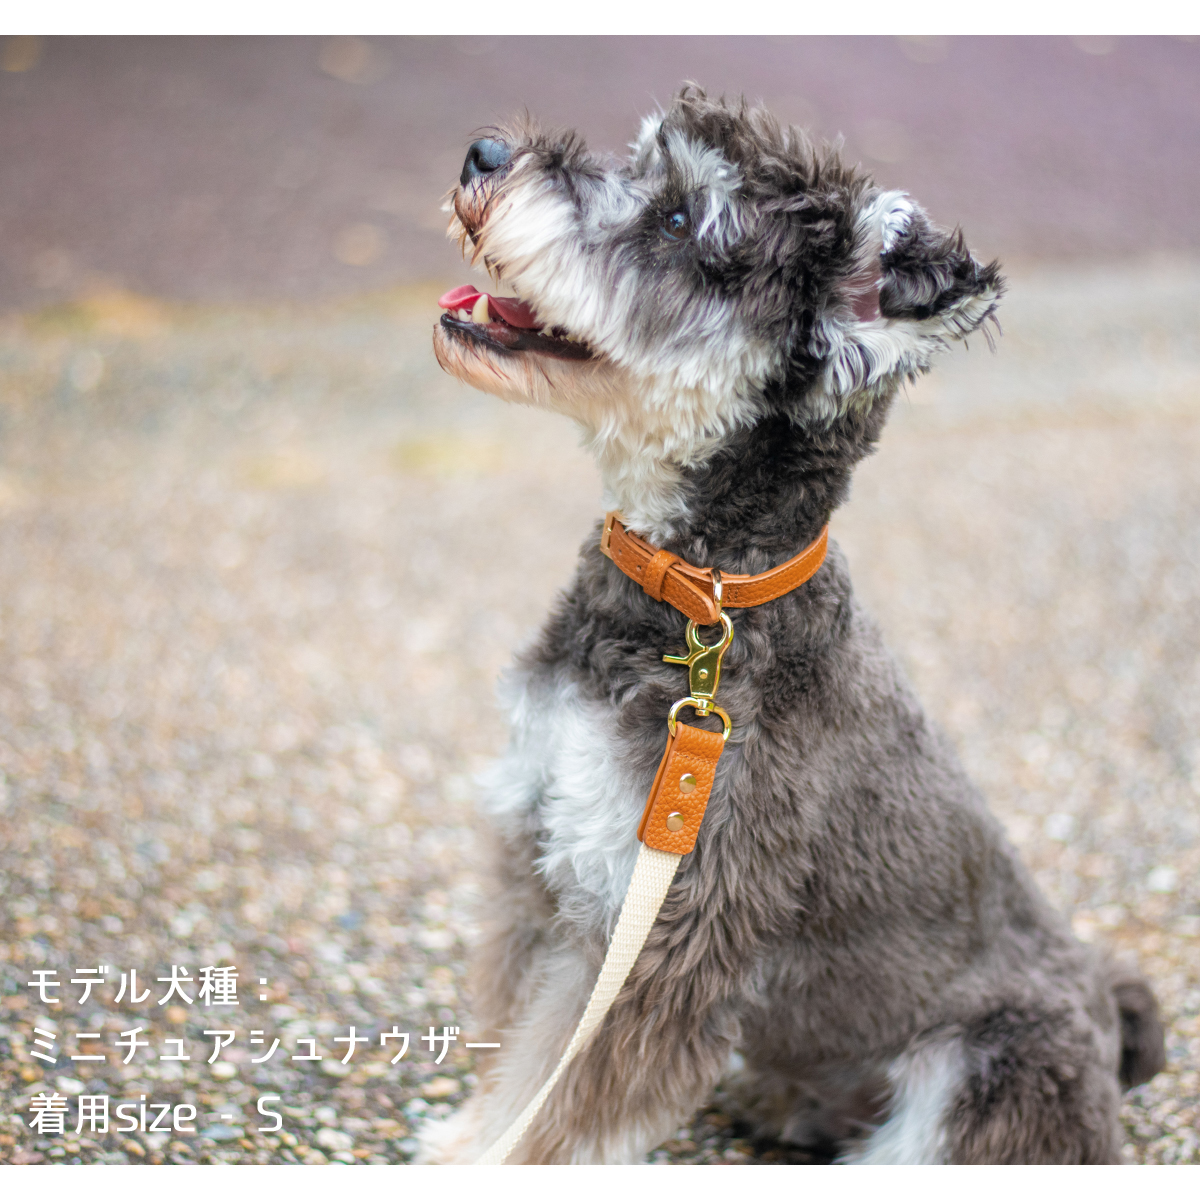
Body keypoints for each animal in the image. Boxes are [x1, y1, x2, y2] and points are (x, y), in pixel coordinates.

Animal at [422, 84, 1161, 1161]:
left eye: (679, 220)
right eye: (639, 158)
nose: (484, 153)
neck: (703, 599)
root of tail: (1109, 1019)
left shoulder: (670, 931)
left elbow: (562, 1104)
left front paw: (493, 1159)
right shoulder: (539, 848)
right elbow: (515, 1034)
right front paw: (464, 1140)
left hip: (989, 1077)